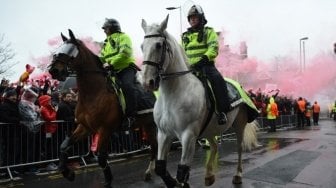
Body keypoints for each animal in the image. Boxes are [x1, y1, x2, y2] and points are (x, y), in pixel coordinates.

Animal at [48, 29, 158, 188]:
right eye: (58, 50)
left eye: (69, 50)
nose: (53, 70)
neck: (94, 93)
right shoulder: (85, 127)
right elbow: (64, 146)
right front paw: (67, 172)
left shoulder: (105, 129)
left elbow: (101, 158)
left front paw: (108, 181)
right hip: (147, 124)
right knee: (154, 147)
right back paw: (150, 172)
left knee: (156, 146)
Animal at [139, 15, 260, 187]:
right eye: (142, 46)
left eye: (158, 45)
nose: (147, 82)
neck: (173, 95)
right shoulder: (163, 134)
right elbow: (161, 168)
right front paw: (173, 181)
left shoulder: (188, 135)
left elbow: (182, 171)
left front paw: (180, 182)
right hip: (210, 129)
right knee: (214, 146)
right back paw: (209, 175)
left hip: (239, 125)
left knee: (239, 148)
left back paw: (237, 175)